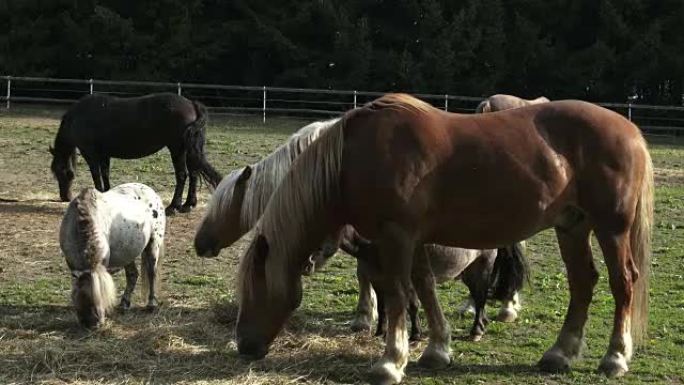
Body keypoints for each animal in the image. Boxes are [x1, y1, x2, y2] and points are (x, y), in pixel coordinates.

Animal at [50, 92, 222, 214]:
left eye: (60, 171)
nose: (64, 197)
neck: (79, 117)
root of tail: (192, 104)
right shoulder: (104, 154)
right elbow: (105, 174)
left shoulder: (90, 154)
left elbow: (96, 175)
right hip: (189, 150)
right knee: (194, 174)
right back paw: (188, 205)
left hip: (177, 149)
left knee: (182, 175)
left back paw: (173, 207)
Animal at [59, 183, 165, 328]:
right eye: (79, 295)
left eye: (100, 296)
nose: (91, 323)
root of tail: (151, 191)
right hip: (127, 252)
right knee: (132, 274)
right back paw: (124, 304)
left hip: (154, 245)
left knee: (151, 273)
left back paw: (151, 304)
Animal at [234, 94, 652, 384]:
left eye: (255, 288)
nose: (243, 346)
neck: (353, 158)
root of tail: (630, 131)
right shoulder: (414, 239)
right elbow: (424, 287)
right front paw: (436, 349)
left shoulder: (396, 236)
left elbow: (399, 293)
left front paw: (391, 361)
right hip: (572, 226)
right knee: (583, 283)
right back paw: (559, 354)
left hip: (611, 228)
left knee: (622, 283)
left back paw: (615, 358)